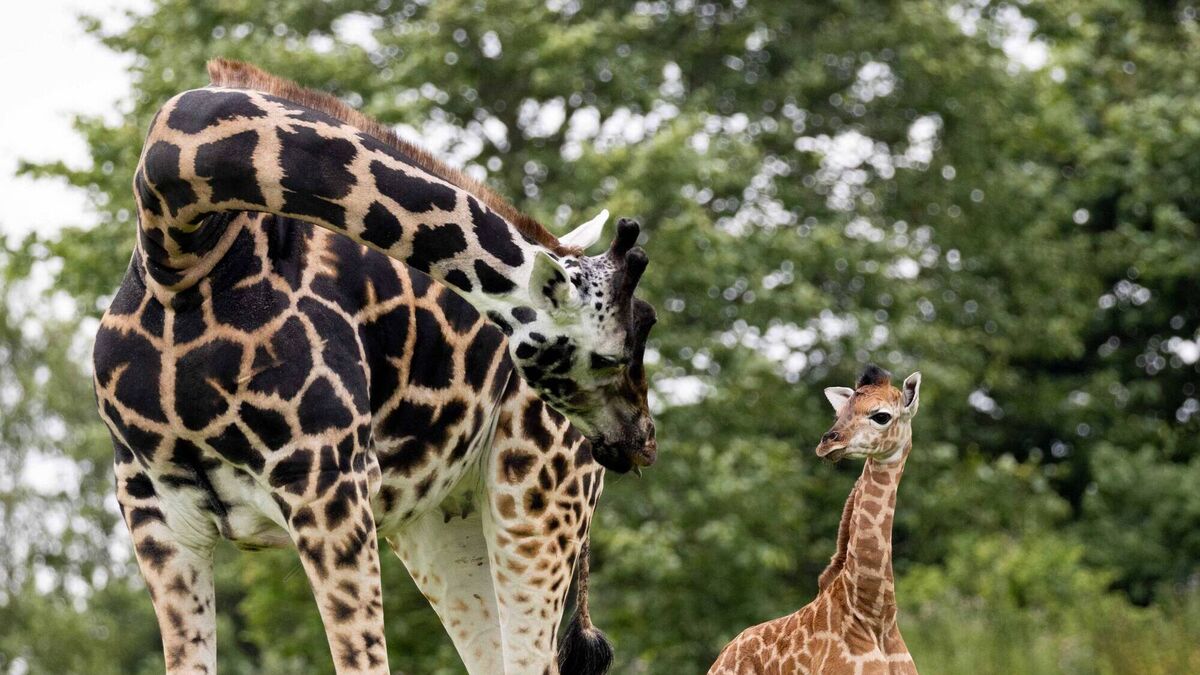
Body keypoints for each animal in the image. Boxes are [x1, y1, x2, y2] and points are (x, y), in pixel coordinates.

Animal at [94, 59, 657, 674]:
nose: (641, 440)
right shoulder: (156, 514)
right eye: (613, 354)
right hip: (440, 524)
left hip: (536, 493)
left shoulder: (326, 479)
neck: (180, 250)